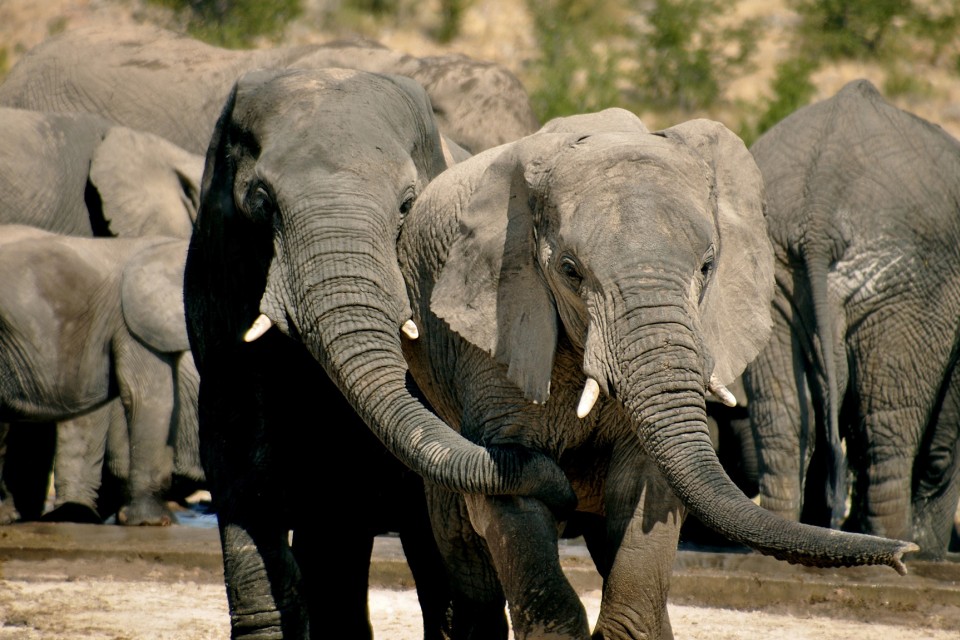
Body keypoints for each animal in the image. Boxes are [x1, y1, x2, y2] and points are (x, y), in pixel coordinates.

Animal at [394, 109, 918, 639]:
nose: (905, 556)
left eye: (708, 265)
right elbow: (509, 498)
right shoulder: (497, 332)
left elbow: (647, 490)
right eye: (569, 270)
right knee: (464, 545)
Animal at [741, 78, 960, 560]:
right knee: (888, 418)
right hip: (909, 285)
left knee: (783, 416)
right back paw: (896, 546)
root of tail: (819, 209)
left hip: (769, 273)